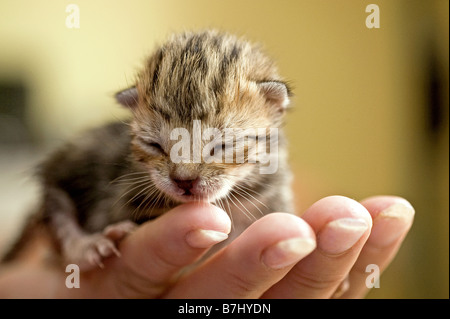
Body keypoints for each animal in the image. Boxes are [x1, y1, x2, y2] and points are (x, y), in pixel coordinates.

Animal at [2, 30, 296, 272]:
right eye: (154, 145)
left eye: (222, 145)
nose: (184, 182)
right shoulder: (122, 197)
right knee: (57, 210)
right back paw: (83, 247)